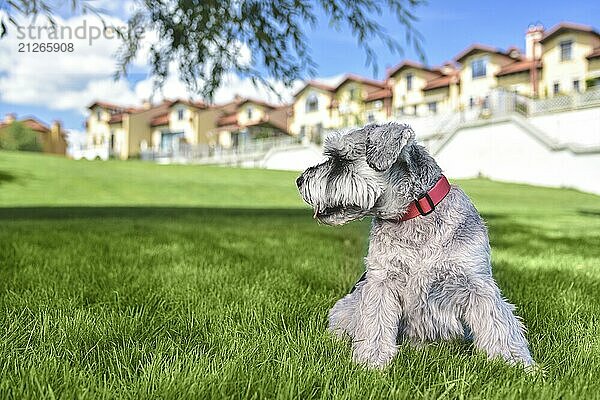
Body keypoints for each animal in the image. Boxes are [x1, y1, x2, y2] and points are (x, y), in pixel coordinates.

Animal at [296, 122, 536, 368]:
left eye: (340, 160)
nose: (299, 181)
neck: (416, 214)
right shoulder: (382, 280)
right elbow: (375, 322)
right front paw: (371, 361)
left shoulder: (476, 282)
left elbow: (498, 324)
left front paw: (516, 363)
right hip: (348, 304)